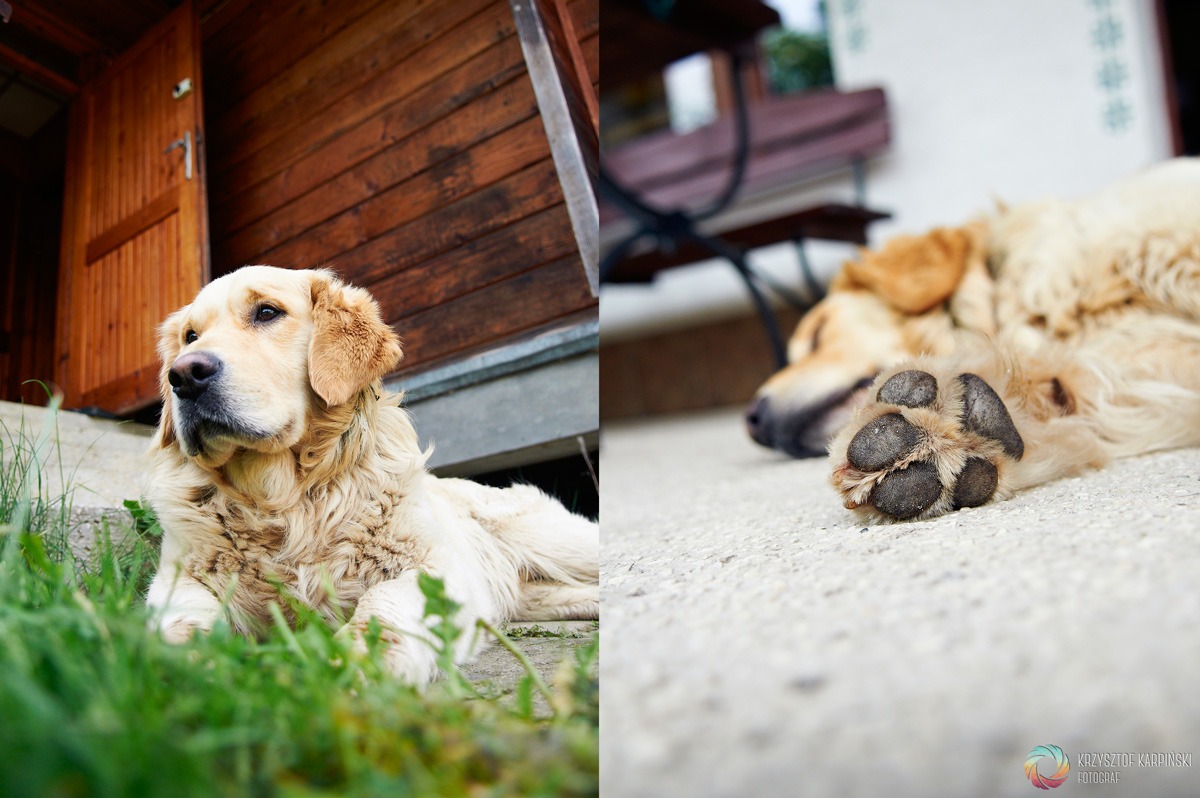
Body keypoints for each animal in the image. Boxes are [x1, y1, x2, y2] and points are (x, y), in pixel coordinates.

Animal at [141, 264, 600, 681]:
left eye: (267, 312)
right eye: (190, 337)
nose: (184, 375)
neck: (285, 503)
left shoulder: (432, 565)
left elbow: (385, 603)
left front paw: (361, 659)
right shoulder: (180, 576)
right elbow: (178, 619)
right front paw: (164, 664)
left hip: (552, 540)